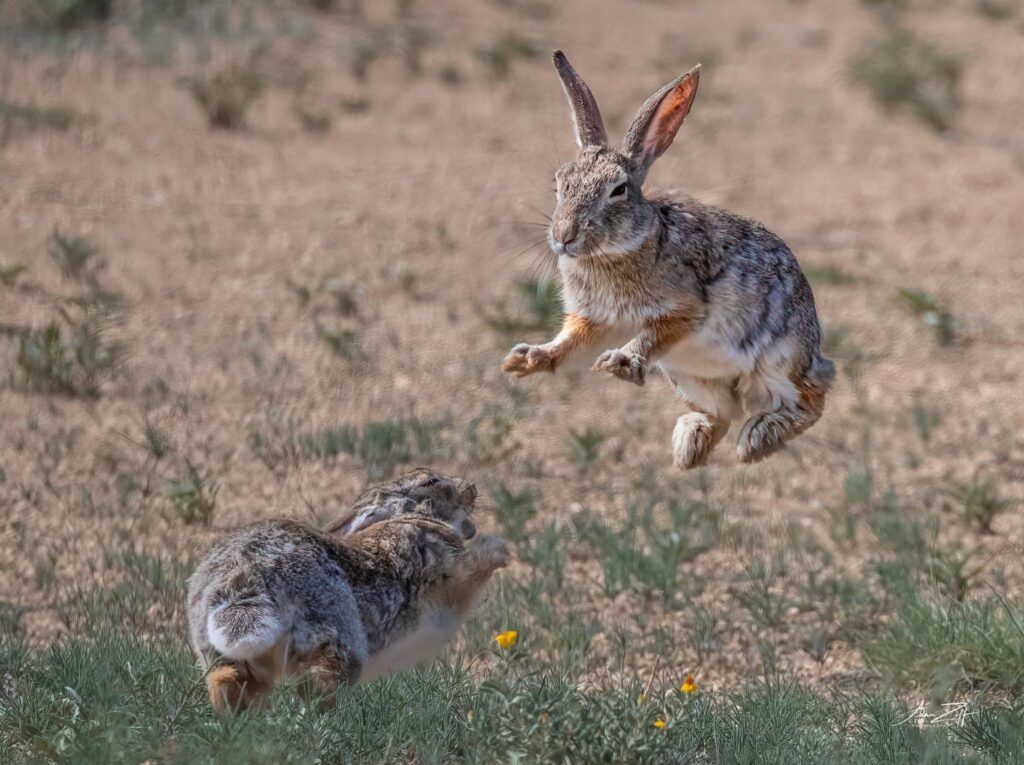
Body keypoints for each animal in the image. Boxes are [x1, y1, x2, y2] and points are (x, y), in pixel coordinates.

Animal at [187, 474, 508, 712]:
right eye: (430, 481)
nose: (471, 488)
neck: (414, 516)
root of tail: (243, 573)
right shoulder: (447, 575)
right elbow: (471, 572)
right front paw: (498, 551)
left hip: (221, 646)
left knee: (228, 679)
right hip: (332, 627)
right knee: (320, 685)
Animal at [502, 51, 834, 468]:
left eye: (618, 190)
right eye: (559, 184)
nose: (564, 237)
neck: (619, 249)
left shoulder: (683, 310)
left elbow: (649, 337)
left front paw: (619, 363)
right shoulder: (593, 319)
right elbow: (568, 343)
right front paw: (526, 359)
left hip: (780, 361)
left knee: (811, 397)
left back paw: (756, 440)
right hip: (692, 379)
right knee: (722, 414)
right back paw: (691, 446)